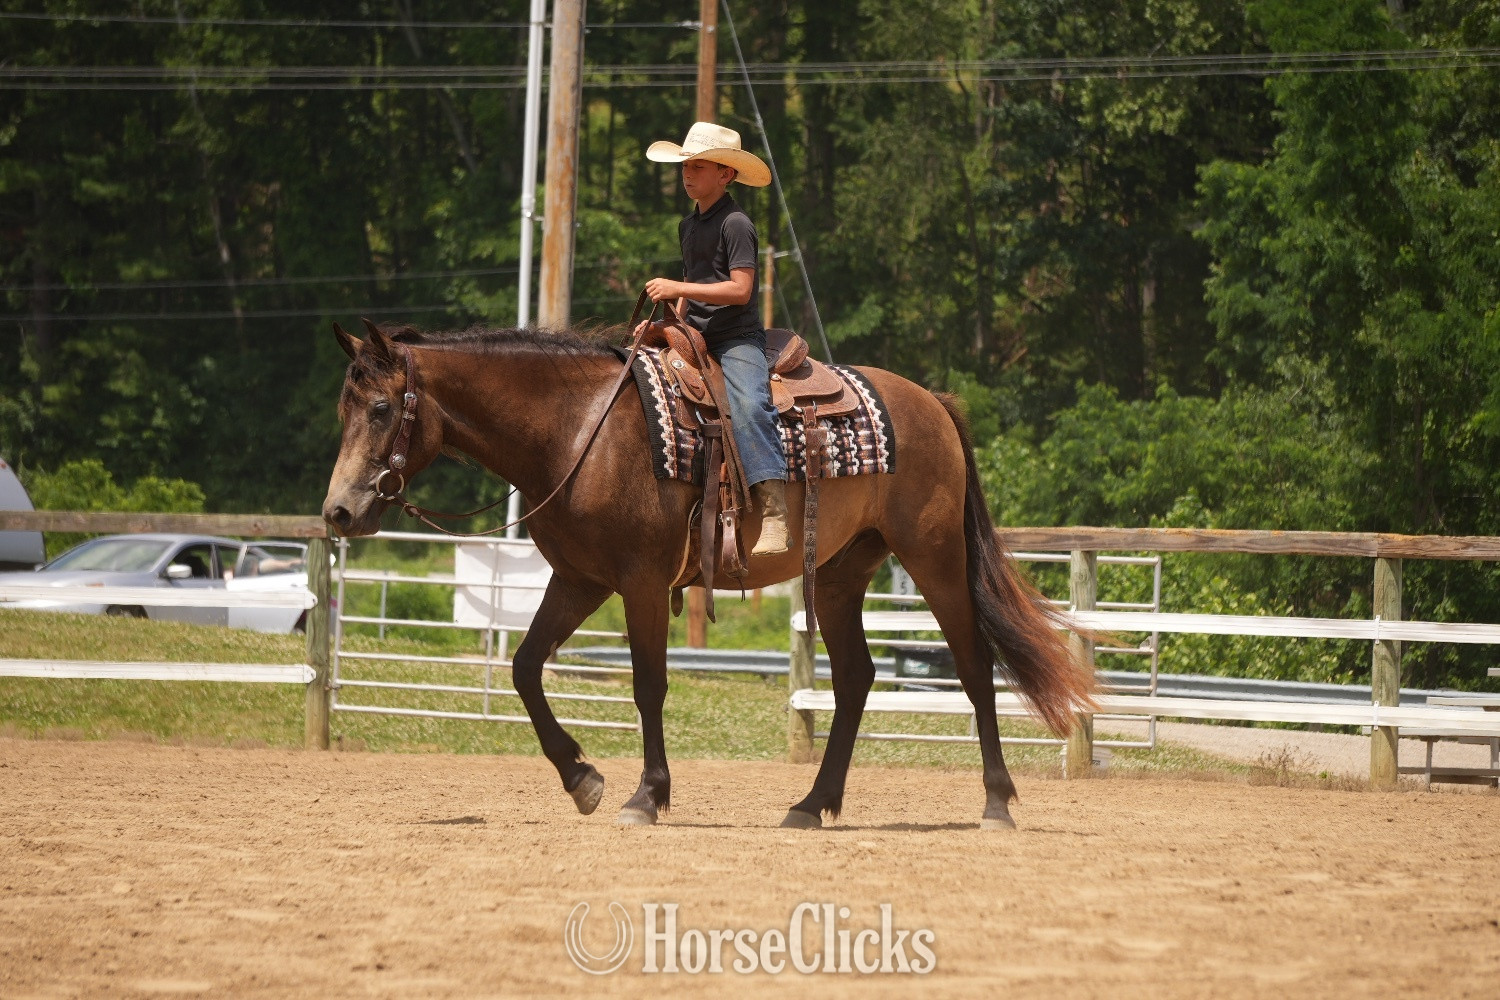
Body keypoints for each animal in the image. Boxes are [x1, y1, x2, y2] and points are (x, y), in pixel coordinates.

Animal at [321, 317, 1096, 830]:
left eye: (383, 408)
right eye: (344, 408)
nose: (337, 511)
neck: (577, 431)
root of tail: (932, 401)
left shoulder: (639, 581)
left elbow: (648, 686)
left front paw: (646, 795)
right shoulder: (578, 579)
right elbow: (525, 668)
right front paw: (582, 779)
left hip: (933, 556)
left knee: (972, 665)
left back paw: (996, 802)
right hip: (840, 574)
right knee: (855, 679)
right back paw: (812, 805)